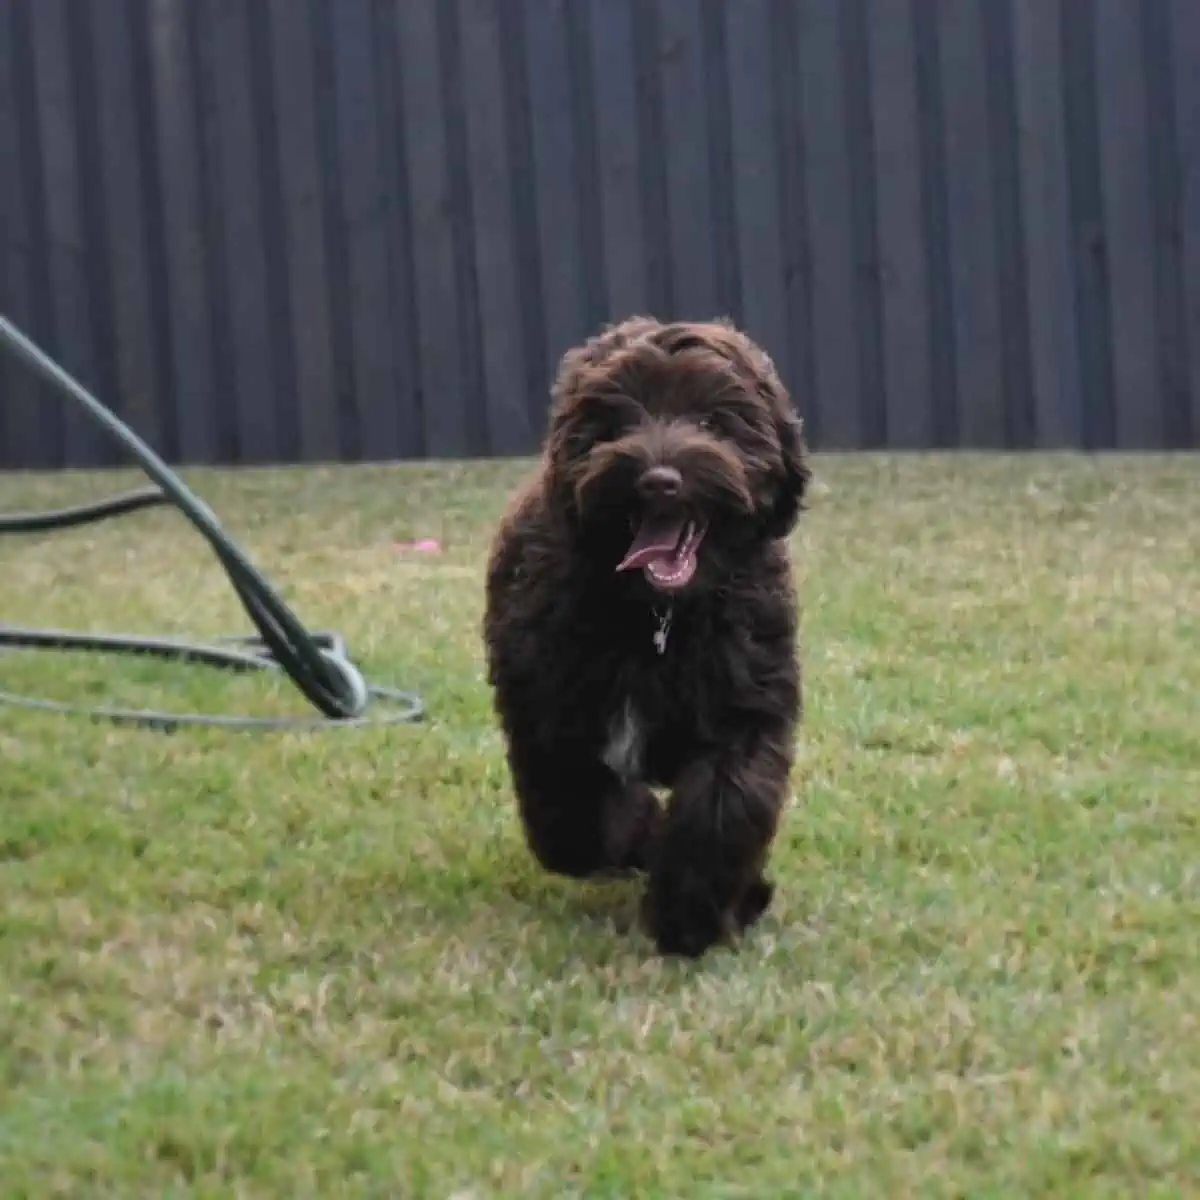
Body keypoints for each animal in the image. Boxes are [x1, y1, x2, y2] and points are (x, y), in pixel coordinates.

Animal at [482, 314, 811, 960]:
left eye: (713, 422)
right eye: (619, 421)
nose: (660, 480)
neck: (659, 616)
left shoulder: (741, 713)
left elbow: (721, 809)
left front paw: (689, 918)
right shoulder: (551, 718)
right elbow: (578, 821)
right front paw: (645, 847)